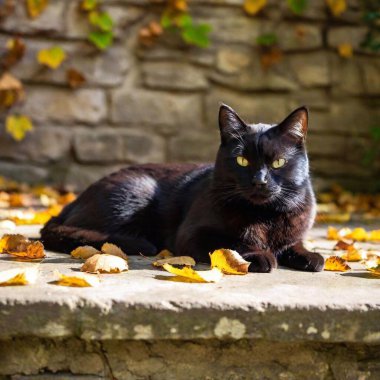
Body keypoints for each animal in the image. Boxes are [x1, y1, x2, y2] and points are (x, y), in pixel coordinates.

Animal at [40, 104, 324, 270]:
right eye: (242, 160)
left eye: (278, 162)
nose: (259, 181)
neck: (264, 216)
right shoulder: (191, 235)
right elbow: (232, 243)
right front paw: (261, 255)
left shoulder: (294, 230)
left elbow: (295, 244)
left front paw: (310, 256)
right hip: (136, 191)